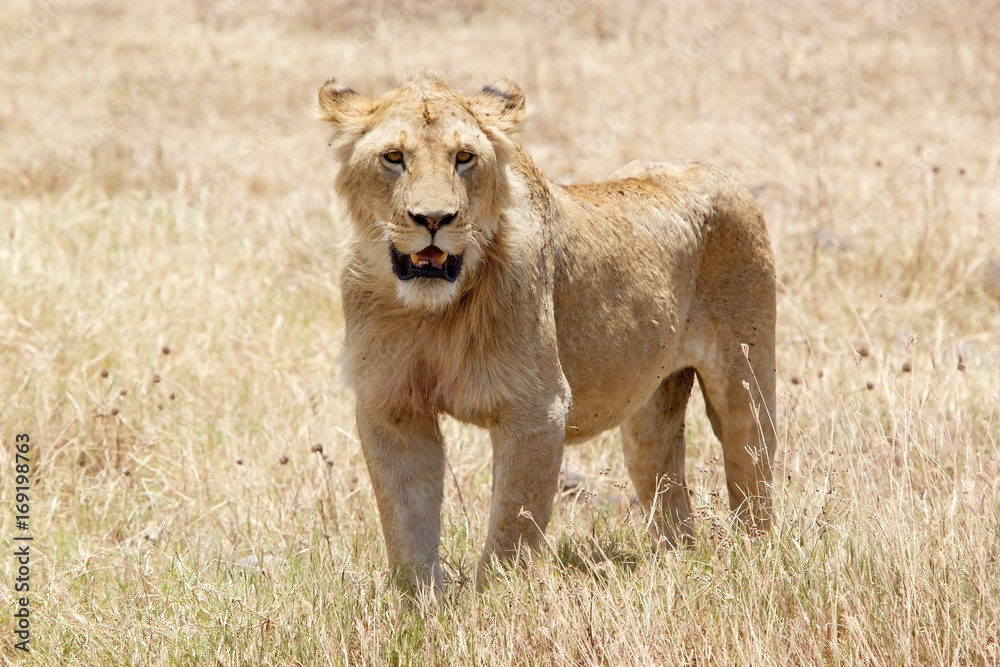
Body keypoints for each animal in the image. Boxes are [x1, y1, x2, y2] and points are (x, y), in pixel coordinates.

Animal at [318, 71, 777, 593]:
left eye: (464, 157)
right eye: (394, 157)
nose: (434, 219)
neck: (430, 313)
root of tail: (714, 171)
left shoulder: (537, 407)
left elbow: (511, 529)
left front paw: (494, 604)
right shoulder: (390, 406)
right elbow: (406, 525)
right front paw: (422, 606)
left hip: (745, 381)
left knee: (752, 467)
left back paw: (753, 557)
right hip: (649, 412)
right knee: (666, 485)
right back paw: (678, 561)